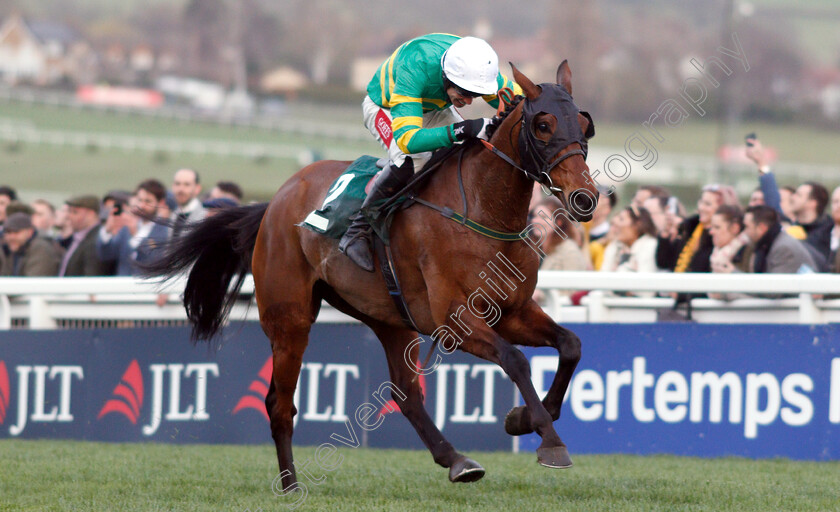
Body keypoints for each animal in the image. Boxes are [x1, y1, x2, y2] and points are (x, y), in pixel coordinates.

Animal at [148, 63, 600, 488]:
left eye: (583, 124)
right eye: (543, 125)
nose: (585, 198)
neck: (482, 210)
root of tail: (274, 201)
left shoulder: (513, 311)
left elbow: (571, 345)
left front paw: (525, 417)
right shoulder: (454, 320)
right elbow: (516, 360)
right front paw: (549, 439)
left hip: (389, 317)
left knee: (406, 393)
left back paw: (457, 461)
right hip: (290, 318)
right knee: (280, 403)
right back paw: (291, 484)